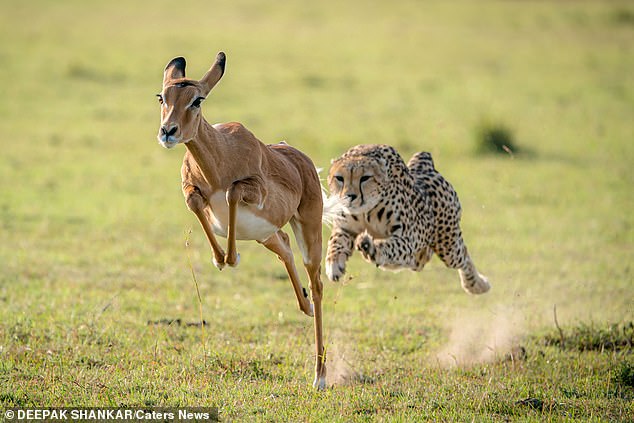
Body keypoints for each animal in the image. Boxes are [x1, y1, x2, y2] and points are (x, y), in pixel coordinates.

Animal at [324, 145, 492, 294]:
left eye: (365, 178)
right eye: (339, 178)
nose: (349, 197)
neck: (366, 211)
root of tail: (424, 167)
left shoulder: (410, 238)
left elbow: (391, 245)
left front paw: (371, 247)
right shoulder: (344, 228)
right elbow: (335, 243)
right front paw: (334, 264)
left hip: (447, 246)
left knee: (463, 255)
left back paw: (477, 285)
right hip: (421, 258)